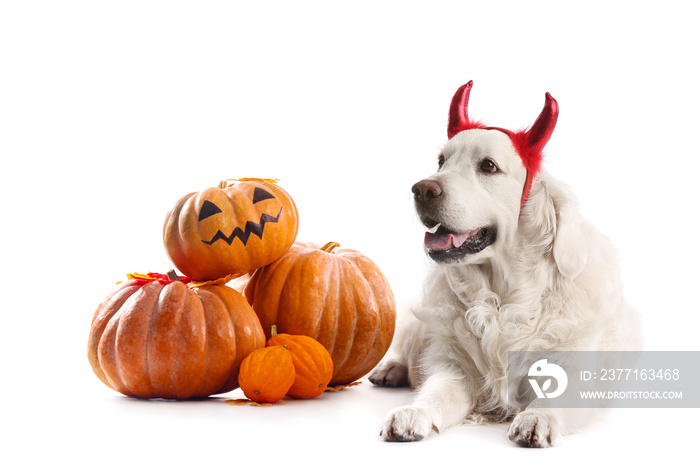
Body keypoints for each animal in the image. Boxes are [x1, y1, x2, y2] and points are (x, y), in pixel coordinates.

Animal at [370, 82, 644, 446]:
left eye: (488, 166)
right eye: (441, 161)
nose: (422, 189)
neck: (503, 298)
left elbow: (556, 396)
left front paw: (537, 418)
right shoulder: (457, 366)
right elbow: (436, 391)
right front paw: (413, 413)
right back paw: (391, 368)